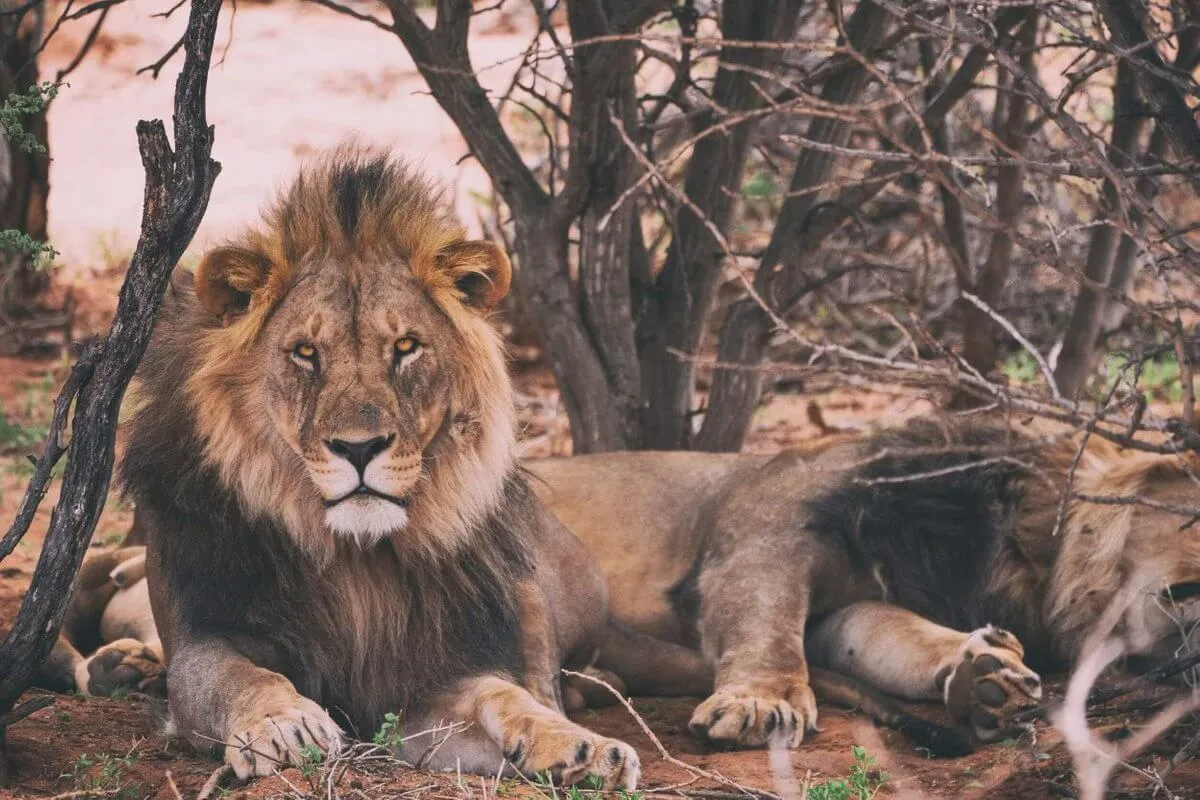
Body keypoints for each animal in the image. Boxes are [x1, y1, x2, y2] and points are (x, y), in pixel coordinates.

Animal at [36, 147, 641, 789]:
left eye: (406, 347)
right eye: (306, 353)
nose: (359, 448)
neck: (355, 562)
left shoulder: (429, 681)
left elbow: (502, 694)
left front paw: (580, 748)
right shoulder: (204, 634)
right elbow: (239, 677)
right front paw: (286, 725)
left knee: (542, 674)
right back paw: (121, 667)